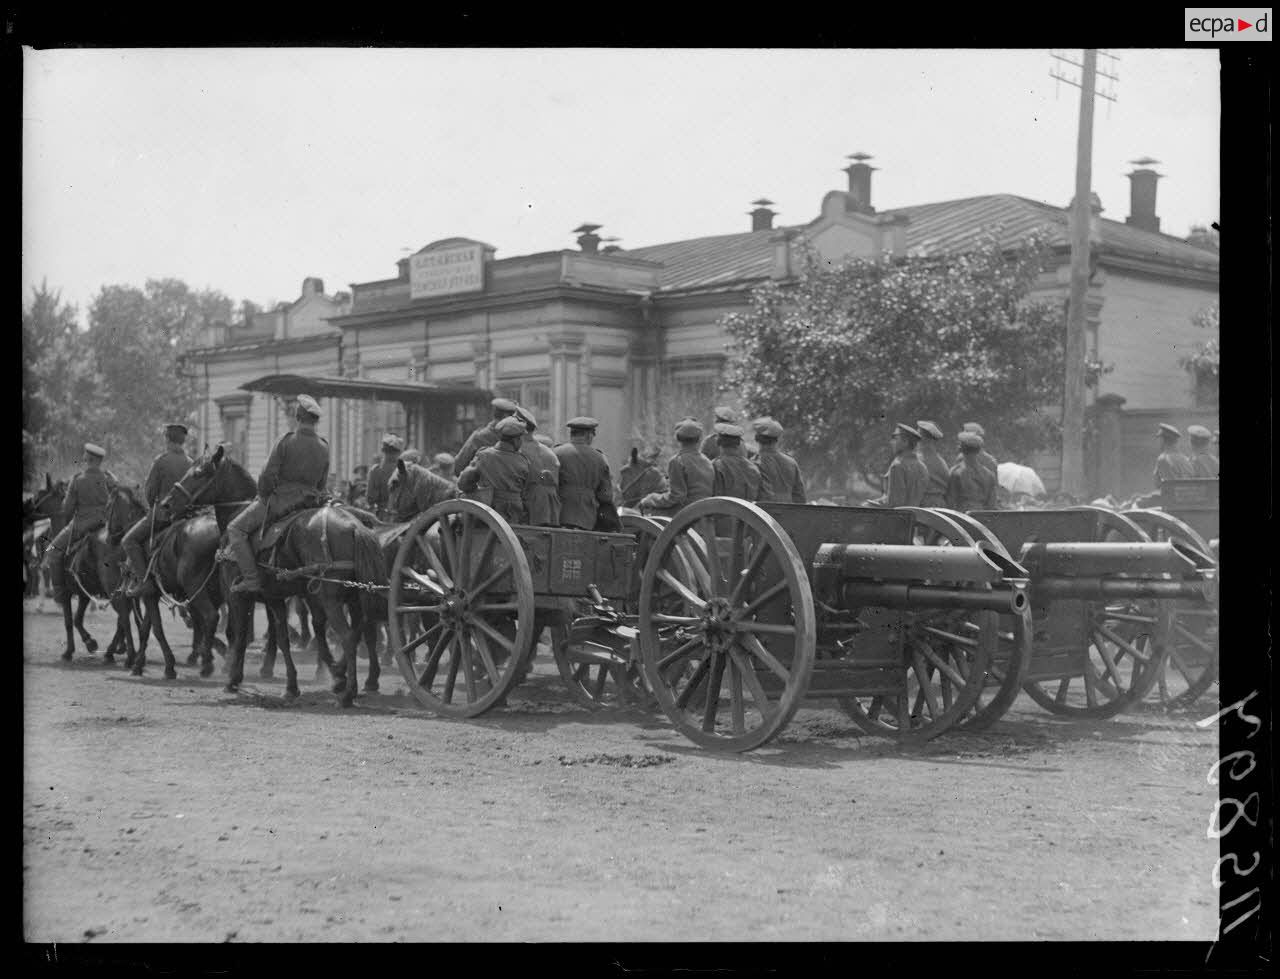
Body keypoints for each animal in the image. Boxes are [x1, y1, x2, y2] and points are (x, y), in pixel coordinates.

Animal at [54, 483, 147, 665]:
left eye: (108, 506)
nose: (111, 537)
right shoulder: (84, 594)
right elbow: (77, 619)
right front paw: (90, 643)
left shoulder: (66, 593)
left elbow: (69, 621)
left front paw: (69, 651)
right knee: (128, 618)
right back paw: (123, 652)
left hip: (115, 592)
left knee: (124, 618)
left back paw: (127, 655)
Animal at [158, 447, 384, 706]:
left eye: (198, 472)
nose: (166, 504)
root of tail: (355, 527)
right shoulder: (274, 598)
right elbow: (282, 638)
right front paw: (292, 685)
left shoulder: (237, 596)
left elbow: (239, 634)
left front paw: (233, 678)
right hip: (352, 598)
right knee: (357, 632)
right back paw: (343, 677)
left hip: (330, 599)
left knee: (346, 636)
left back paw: (348, 691)